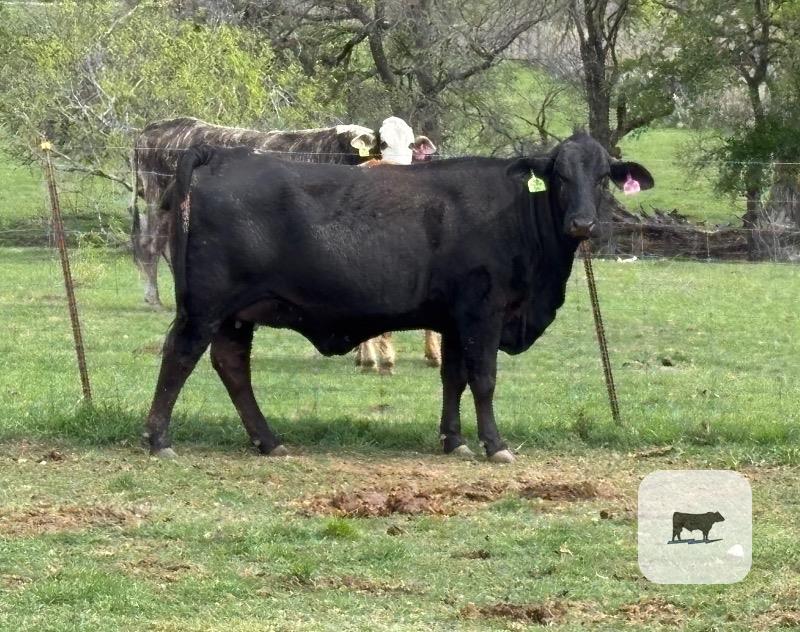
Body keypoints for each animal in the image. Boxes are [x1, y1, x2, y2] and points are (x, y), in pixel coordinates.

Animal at [131, 115, 435, 307]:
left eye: (410, 145)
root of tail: (155, 127)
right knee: (150, 244)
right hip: (155, 199)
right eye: (383, 143)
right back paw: (153, 297)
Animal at [143, 131, 654, 463]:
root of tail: (221, 153)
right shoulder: (483, 313)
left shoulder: (452, 319)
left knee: (232, 366)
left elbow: (453, 378)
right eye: (559, 175)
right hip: (205, 308)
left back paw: (268, 441)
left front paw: (454, 440)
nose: (583, 224)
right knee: (180, 356)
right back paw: (159, 439)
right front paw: (495, 445)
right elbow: (483, 378)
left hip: (236, 315)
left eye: (603, 176)